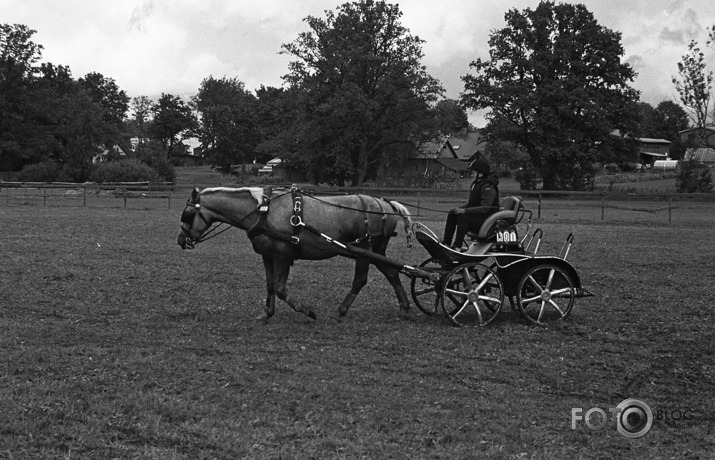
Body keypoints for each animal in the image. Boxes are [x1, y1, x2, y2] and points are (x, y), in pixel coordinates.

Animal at [176, 185, 416, 322]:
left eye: (187, 214)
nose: (180, 240)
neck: (262, 211)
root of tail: (385, 203)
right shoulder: (268, 255)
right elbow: (270, 285)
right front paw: (267, 313)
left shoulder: (283, 254)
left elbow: (280, 289)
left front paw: (307, 310)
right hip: (377, 250)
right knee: (393, 273)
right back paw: (404, 308)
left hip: (365, 250)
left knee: (360, 280)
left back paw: (341, 310)